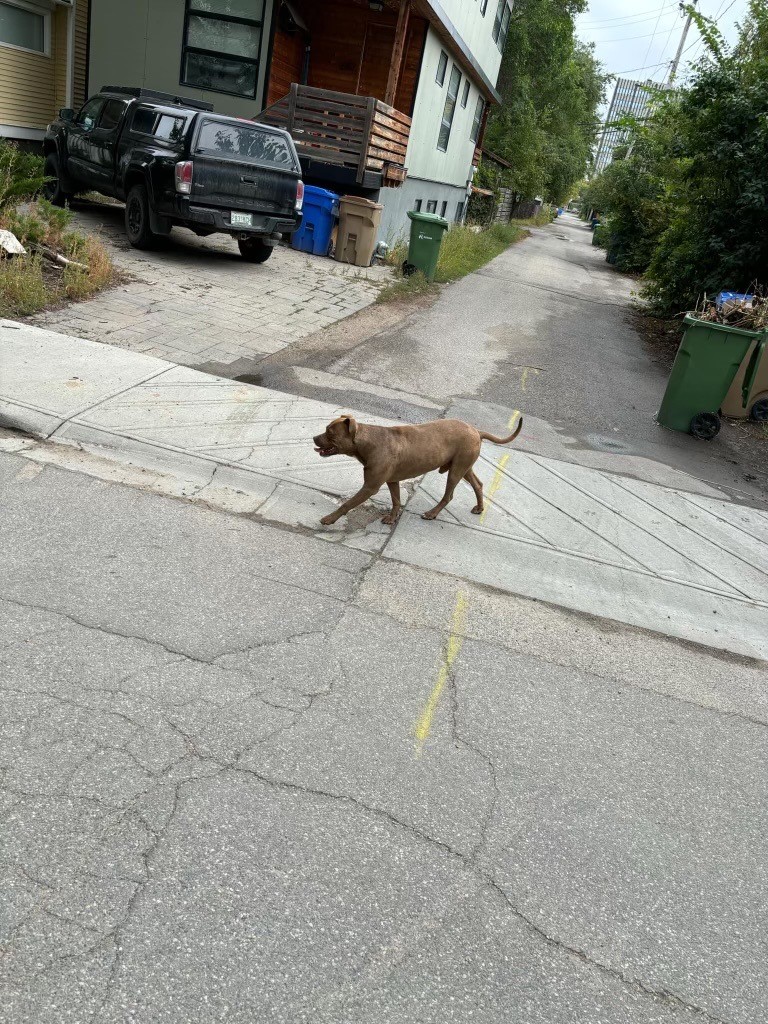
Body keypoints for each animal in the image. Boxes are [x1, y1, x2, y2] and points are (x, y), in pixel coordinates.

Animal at [313, 415, 524, 528]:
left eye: (330, 432)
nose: (314, 437)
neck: (367, 442)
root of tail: (476, 431)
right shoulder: (392, 481)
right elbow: (396, 501)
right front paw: (392, 518)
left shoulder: (370, 487)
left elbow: (347, 504)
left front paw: (330, 518)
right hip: (464, 467)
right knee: (478, 485)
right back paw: (479, 507)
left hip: (456, 471)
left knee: (448, 496)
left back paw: (432, 513)